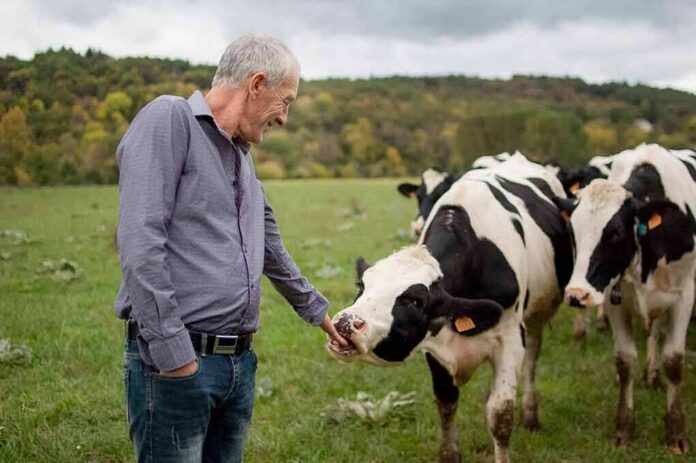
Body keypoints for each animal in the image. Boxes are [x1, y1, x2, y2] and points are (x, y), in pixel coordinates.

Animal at [330, 157, 572, 463]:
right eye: (362, 284)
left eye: (416, 302)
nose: (345, 322)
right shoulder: (434, 344)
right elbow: (446, 401)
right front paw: (449, 453)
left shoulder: (510, 337)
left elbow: (500, 416)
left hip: (539, 313)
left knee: (532, 356)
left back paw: (530, 413)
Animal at [556, 143, 696, 454]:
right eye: (573, 230)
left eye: (616, 233)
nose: (576, 294)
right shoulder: (613, 299)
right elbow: (625, 361)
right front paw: (623, 430)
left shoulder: (684, 296)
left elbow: (674, 362)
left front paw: (676, 434)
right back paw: (650, 375)